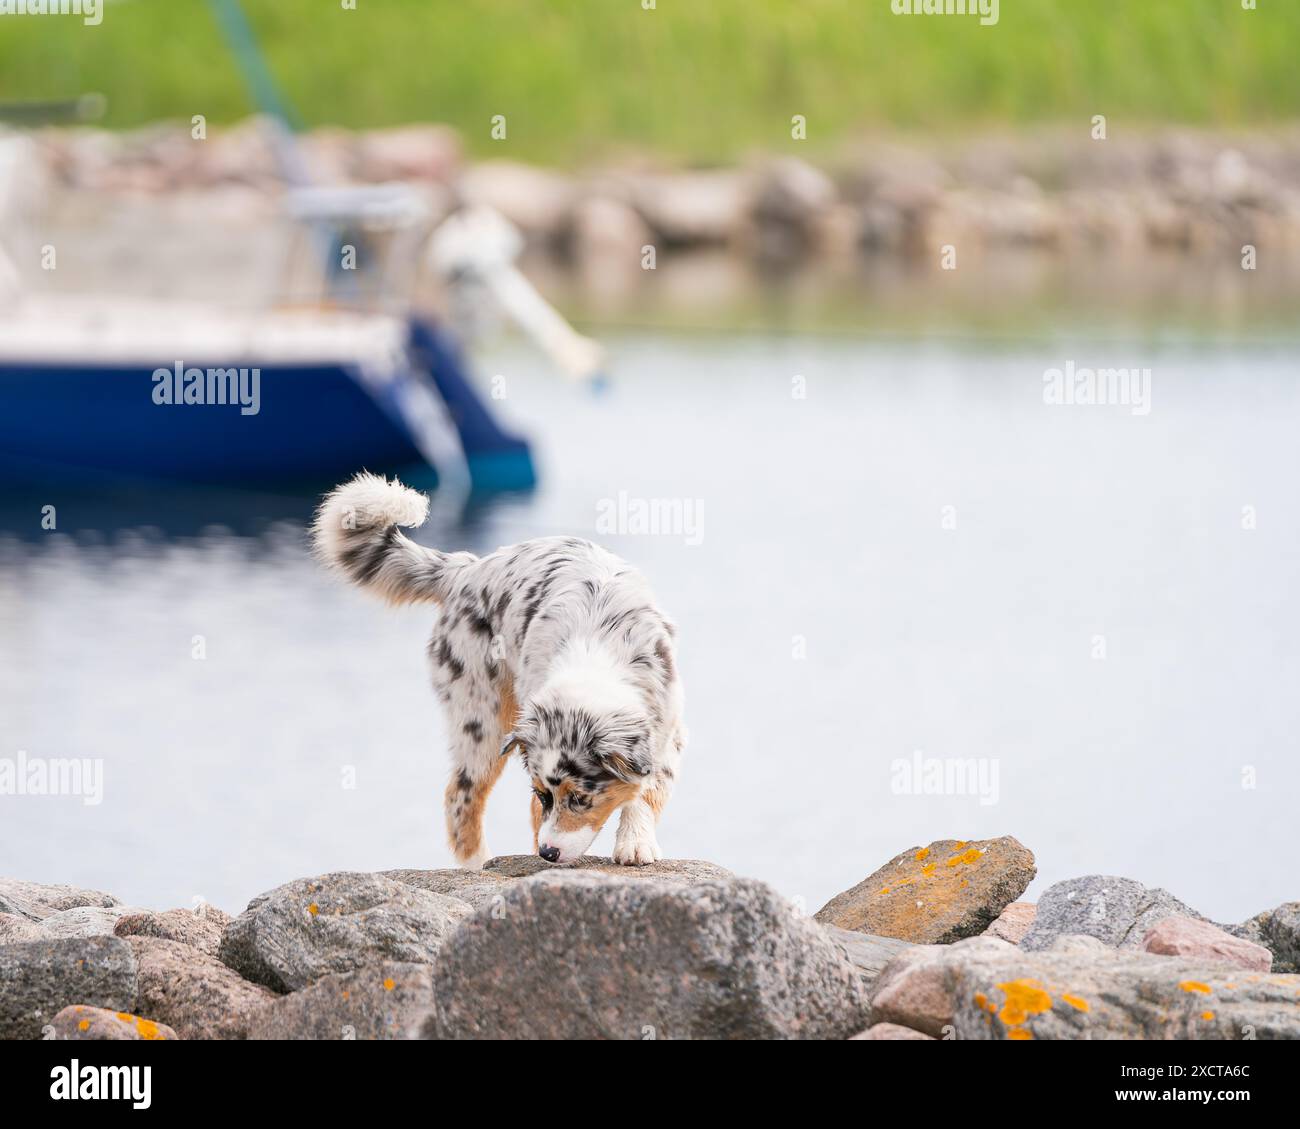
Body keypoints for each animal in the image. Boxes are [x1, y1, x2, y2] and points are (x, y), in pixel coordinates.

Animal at [310, 470, 686, 868]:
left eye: (581, 799)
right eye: (546, 794)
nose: (548, 854)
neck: (594, 652)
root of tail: (466, 569)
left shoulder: (667, 729)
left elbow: (646, 790)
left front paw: (635, 843)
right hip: (481, 721)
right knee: (460, 798)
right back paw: (479, 865)